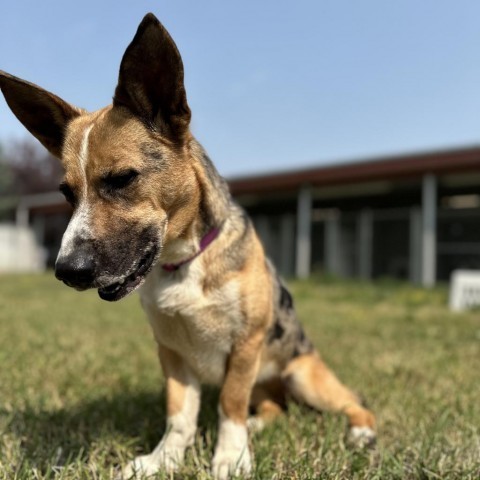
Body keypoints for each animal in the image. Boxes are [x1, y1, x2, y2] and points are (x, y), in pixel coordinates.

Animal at [0, 13, 376, 478]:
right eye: (66, 193)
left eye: (122, 179)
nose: (67, 271)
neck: (184, 262)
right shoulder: (173, 353)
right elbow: (180, 416)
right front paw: (163, 460)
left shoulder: (244, 347)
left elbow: (228, 405)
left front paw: (230, 458)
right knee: (274, 408)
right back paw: (260, 424)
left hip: (302, 375)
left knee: (353, 401)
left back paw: (360, 433)